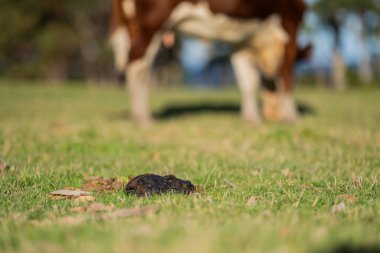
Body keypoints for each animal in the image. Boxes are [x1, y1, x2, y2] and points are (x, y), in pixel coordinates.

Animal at [108, 0, 308, 125]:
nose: (273, 115)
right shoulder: (289, 28)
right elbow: (287, 76)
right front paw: (292, 116)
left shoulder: (242, 40)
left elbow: (248, 81)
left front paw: (251, 117)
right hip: (153, 21)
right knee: (138, 65)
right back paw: (144, 118)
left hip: (132, 23)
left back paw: (137, 115)